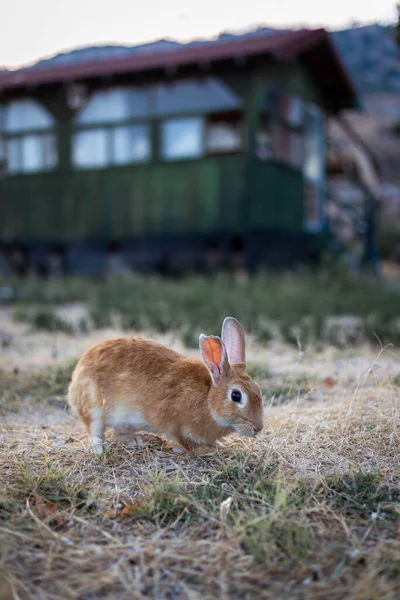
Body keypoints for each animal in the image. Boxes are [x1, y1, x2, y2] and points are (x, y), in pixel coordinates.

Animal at [67, 316, 264, 452]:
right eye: (236, 395)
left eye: (258, 390)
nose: (258, 428)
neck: (208, 399)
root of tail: (77, 373)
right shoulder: (177, 425)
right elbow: (186, 442)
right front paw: (208, 450)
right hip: (93, 405)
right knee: (94, 429)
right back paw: (100, 448)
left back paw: (138, 440)